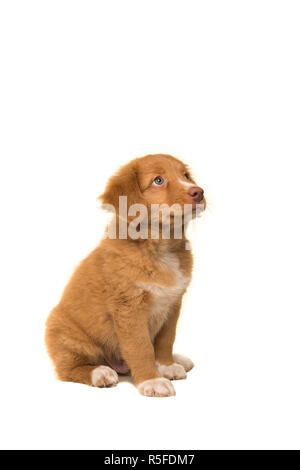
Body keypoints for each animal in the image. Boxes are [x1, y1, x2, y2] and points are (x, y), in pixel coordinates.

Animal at [45, 154, 205, 396]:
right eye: (158, 180)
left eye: (185, 176)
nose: (199, 191)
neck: (160, 245)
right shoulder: (129, 308)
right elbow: (141, 347)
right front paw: (152, 380)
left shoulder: (173, 304)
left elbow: (165, 340)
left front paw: (166, 365)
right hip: (67, 335)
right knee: (67, 369)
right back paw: (100, 373)